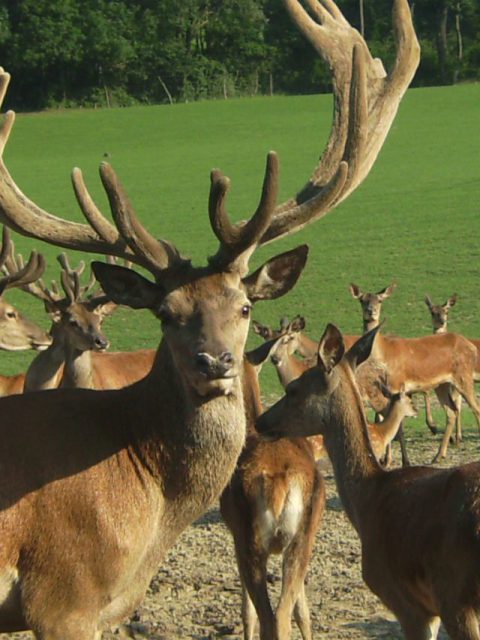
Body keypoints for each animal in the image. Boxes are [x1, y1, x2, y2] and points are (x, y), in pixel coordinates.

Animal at [221, 356, 326, 640]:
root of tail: (279, 481)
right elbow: (303, 610)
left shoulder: (235, 536)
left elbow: (247, 612)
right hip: (303, 536)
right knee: (284, 612)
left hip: (251, 540)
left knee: (270, 616)